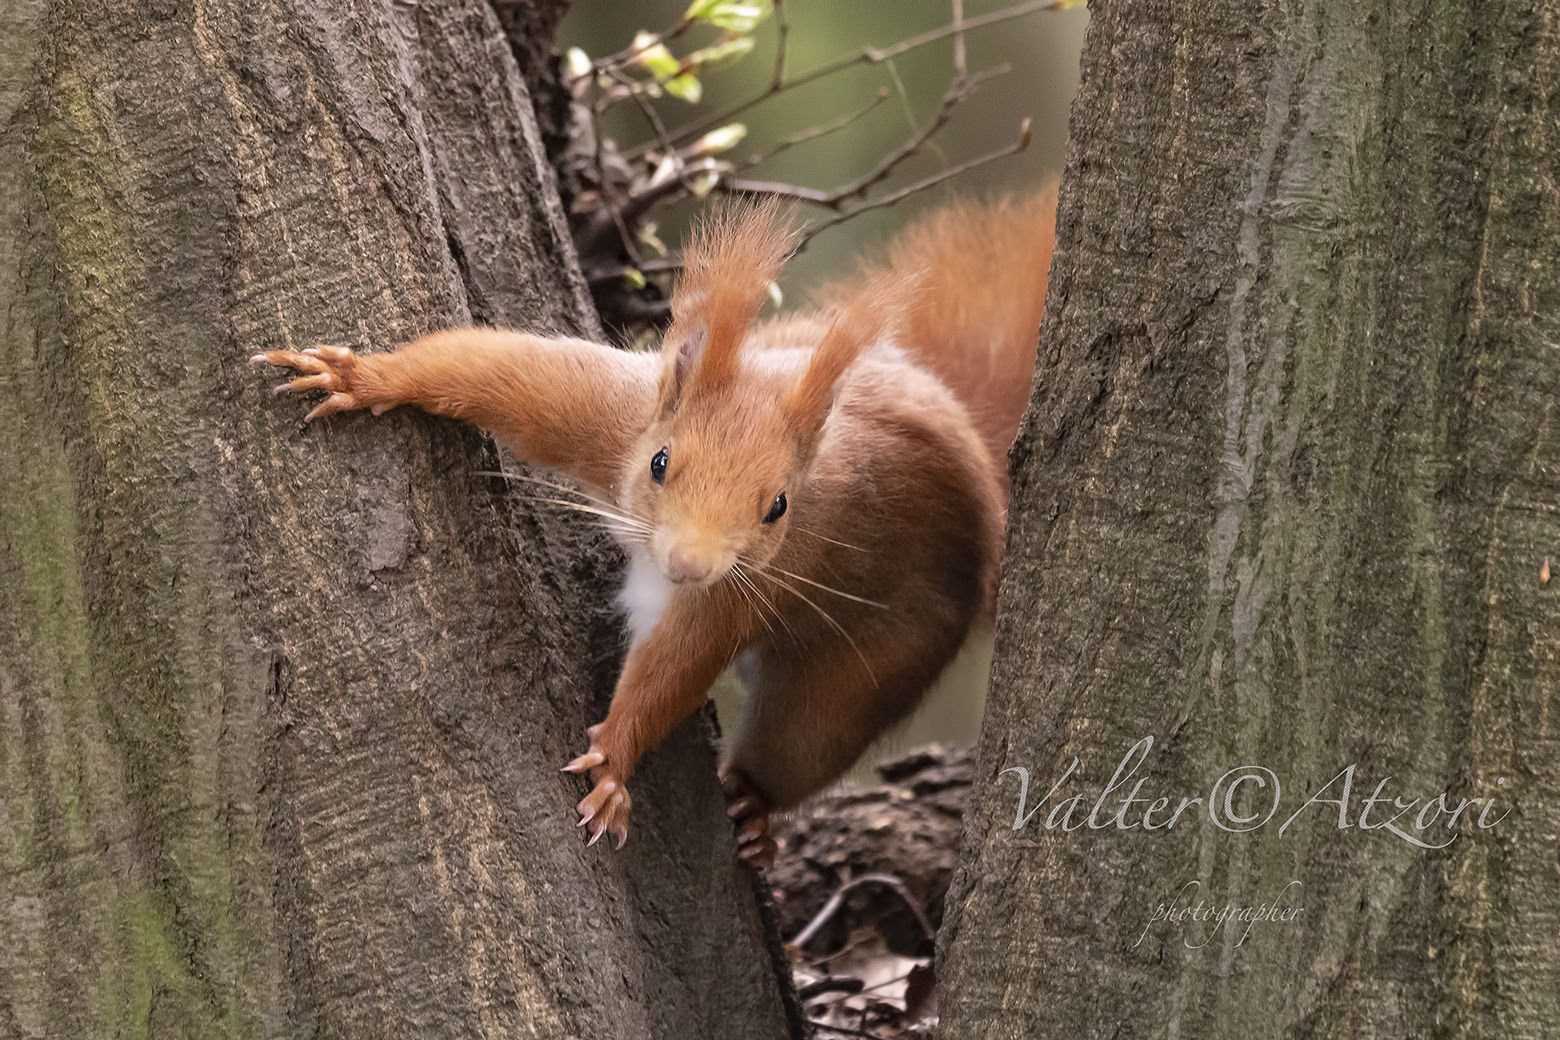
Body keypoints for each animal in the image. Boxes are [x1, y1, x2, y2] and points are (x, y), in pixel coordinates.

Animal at [254, 181, 1057, 867]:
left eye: (778, 507)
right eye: (661, 463)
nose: (687, 565)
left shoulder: (755, 580)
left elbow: (675, 665)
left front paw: (613, 762)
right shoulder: (603, 412)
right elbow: (489, 369)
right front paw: (365, 378)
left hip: (871, 666)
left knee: (807, 737)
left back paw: (754, 807)